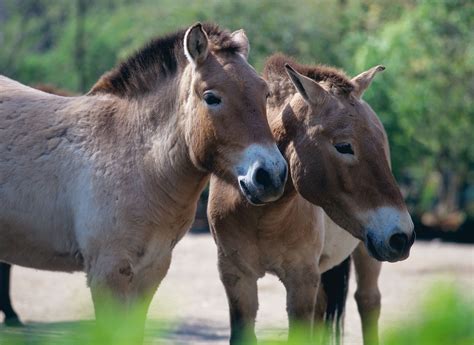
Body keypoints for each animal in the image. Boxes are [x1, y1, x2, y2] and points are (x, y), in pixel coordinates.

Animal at [0, 23, 286, 334]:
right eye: (212, 97)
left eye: (264, 93)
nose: (271, 174)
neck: (136, 160)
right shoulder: (107, 273)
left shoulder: (151, 270)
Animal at [208, 55, 414, 342]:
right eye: (344, 146)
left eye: (380, 145)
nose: (403, 236)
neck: (262, 215)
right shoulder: (237, 278)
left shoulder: (301, 281)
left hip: (366, 254)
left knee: (368, 302)